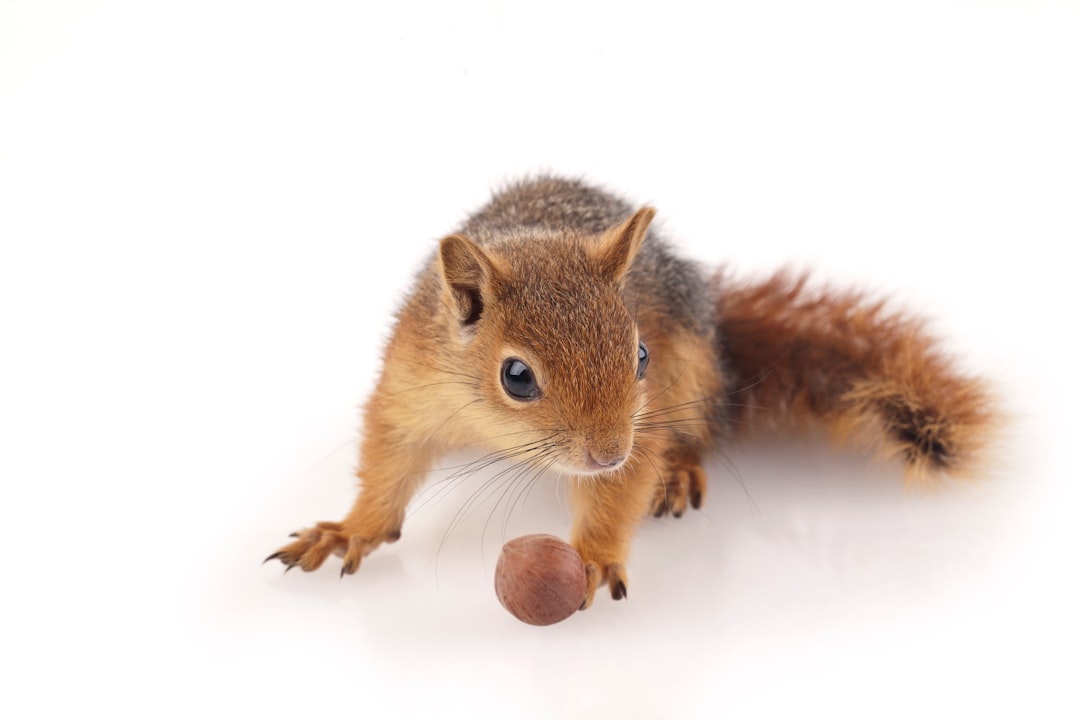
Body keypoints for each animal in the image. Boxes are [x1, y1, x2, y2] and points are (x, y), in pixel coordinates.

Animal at [267, 174, 993, 608]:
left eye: (640, 354)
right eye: (516, 376)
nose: (608, 452)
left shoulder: (647, 416)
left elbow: (621, 491)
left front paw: (590, 555)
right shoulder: (411, 388)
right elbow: (388, 464)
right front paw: (348, 529)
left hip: (694, 373)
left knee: (701, 430)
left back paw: (681, 471)